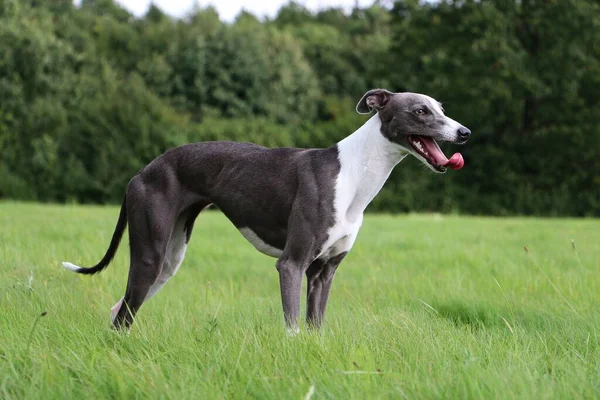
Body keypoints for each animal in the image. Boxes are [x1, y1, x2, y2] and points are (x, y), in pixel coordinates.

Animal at [63, 89, 472, 332]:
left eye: (441, 109)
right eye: (420, 110)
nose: (465, 132)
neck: (353, 174)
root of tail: (142, 172)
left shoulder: (324, 273)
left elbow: (315, 328)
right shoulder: (292, 264)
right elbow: (292, 327)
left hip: (169, 260)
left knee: (119, 310)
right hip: (150, 253)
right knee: (123, 314)